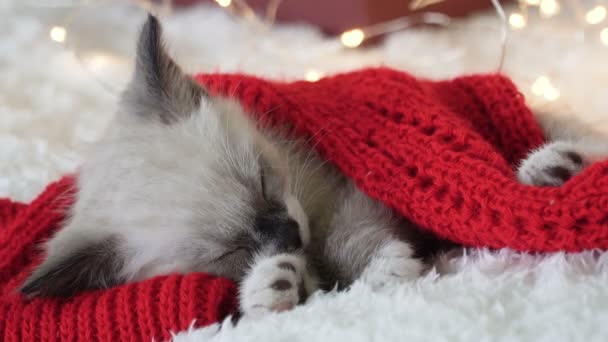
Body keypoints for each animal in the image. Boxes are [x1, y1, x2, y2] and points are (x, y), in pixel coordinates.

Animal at [21, 14, 604, 316]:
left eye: (262, 178)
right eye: (232, 250)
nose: (289, 234)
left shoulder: (345, 193)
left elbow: (350, 240)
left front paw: (386, 270)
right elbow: (296, 289)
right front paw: (270, 287)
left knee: (587, 143)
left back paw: (550, 168)